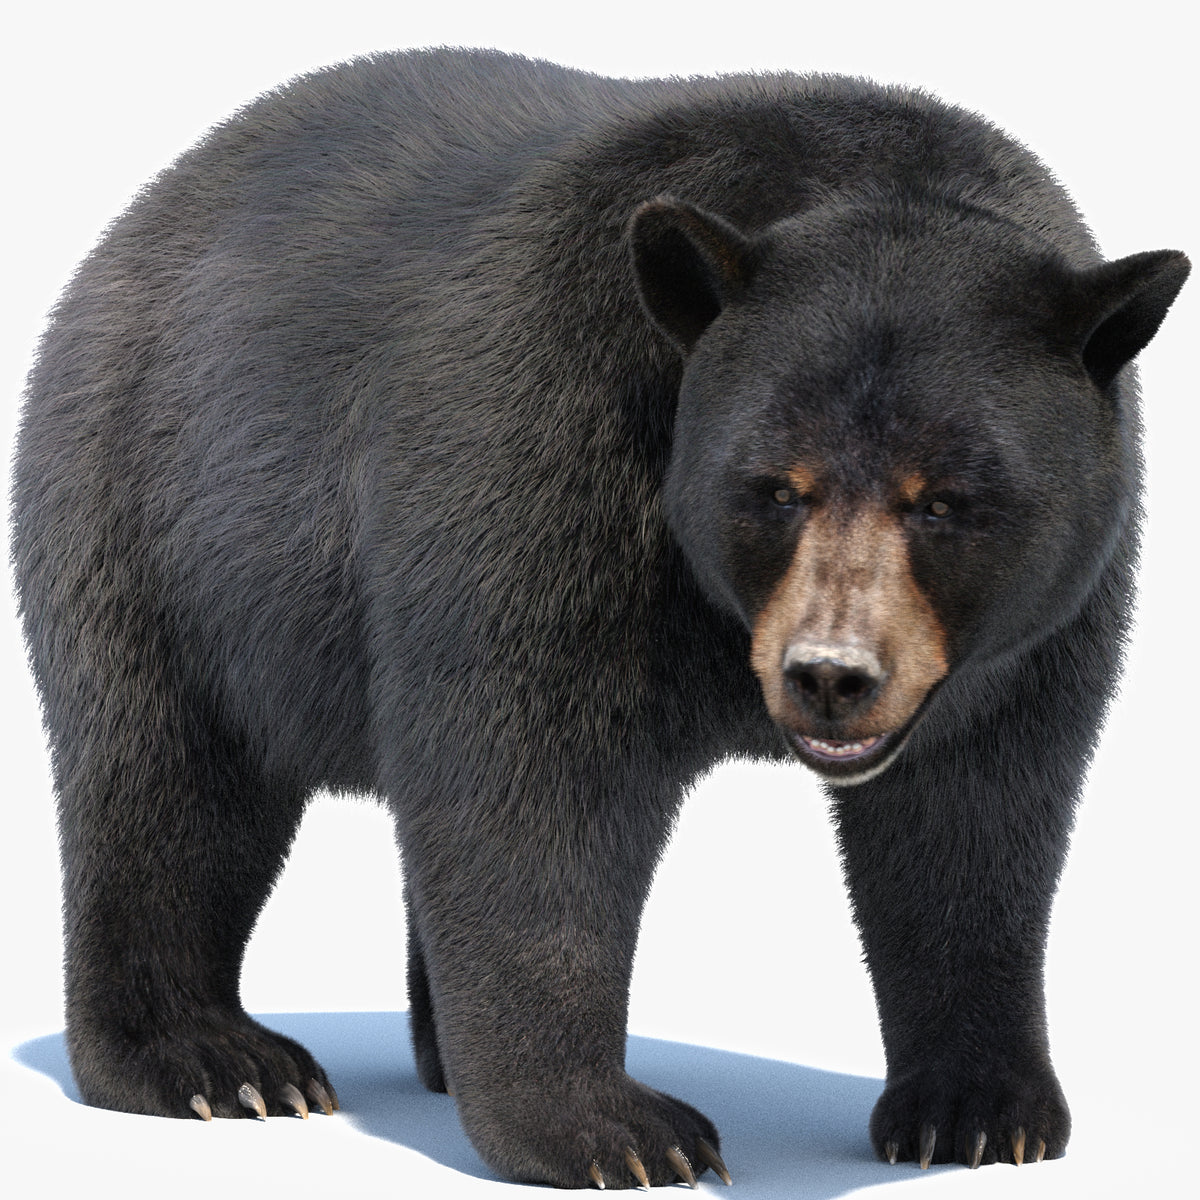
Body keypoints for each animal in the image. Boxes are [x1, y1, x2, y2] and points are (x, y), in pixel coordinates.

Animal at [11, 46, 1189, 1190]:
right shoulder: (557, 430)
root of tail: (145, 211)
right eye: (775, 486)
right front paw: (612, 1129)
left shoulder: (1038, 628)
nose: (830, 674)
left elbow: (975, 819)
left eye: (943, 500)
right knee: (167, 779)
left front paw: (978, 1111)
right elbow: (534, 782)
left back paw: (433, 1055)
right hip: (154, 510)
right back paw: (213, 1061)